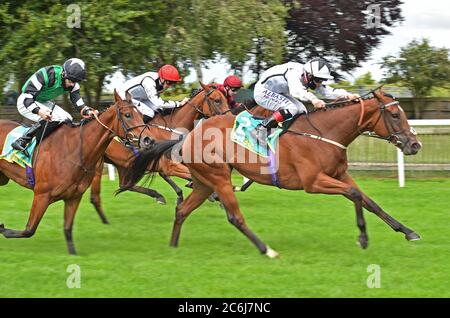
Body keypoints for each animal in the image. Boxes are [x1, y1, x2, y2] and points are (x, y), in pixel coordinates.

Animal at [0, 90, 153, 255]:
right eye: (127, 115)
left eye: (140, 114)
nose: (148, 140)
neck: (73, 151)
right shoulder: (42, 195)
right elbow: (29, 230)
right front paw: (3, 229)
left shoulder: (74, 197)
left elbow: (67, 229)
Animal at [88, 82, 230, 224]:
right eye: (217, 100)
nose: (228, 119)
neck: (172, 129)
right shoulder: (169, 166)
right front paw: (217, 196)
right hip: (98, 164)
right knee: (100, 193)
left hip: (122, 164)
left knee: (125, 184)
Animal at [122, 88, 422, 258]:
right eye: (395, 115)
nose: (414, 144)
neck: (325, 133)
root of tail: (188, 136)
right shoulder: (314, 182)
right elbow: (355, 196)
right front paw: (363, 237)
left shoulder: (339, 175)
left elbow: (370, 202)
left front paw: (407, 231)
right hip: (219, 178)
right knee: (234, 216)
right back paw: (266, 249)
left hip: (205, 182)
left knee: (183, 210)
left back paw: (173, 247)